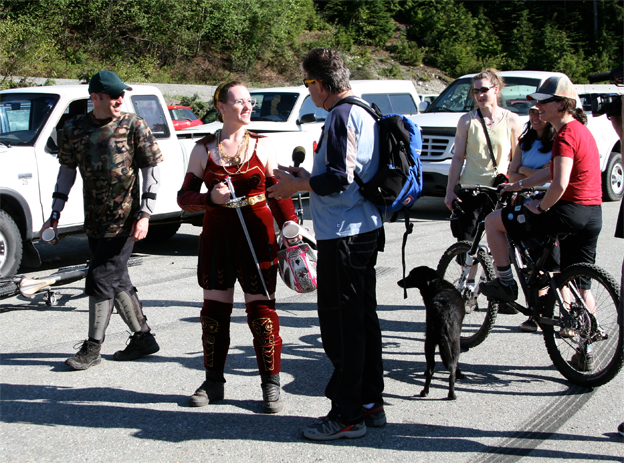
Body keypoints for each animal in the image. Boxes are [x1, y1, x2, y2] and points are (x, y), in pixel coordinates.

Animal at [398, 266, 466, 400]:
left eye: (411, 275)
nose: (399, 282)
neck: (436, 284)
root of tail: (442, 312)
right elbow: (457, 363)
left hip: (430, 341)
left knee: (434, 369)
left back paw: (428, 392)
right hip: (452, 342)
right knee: (450, 369)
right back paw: (449, 394)